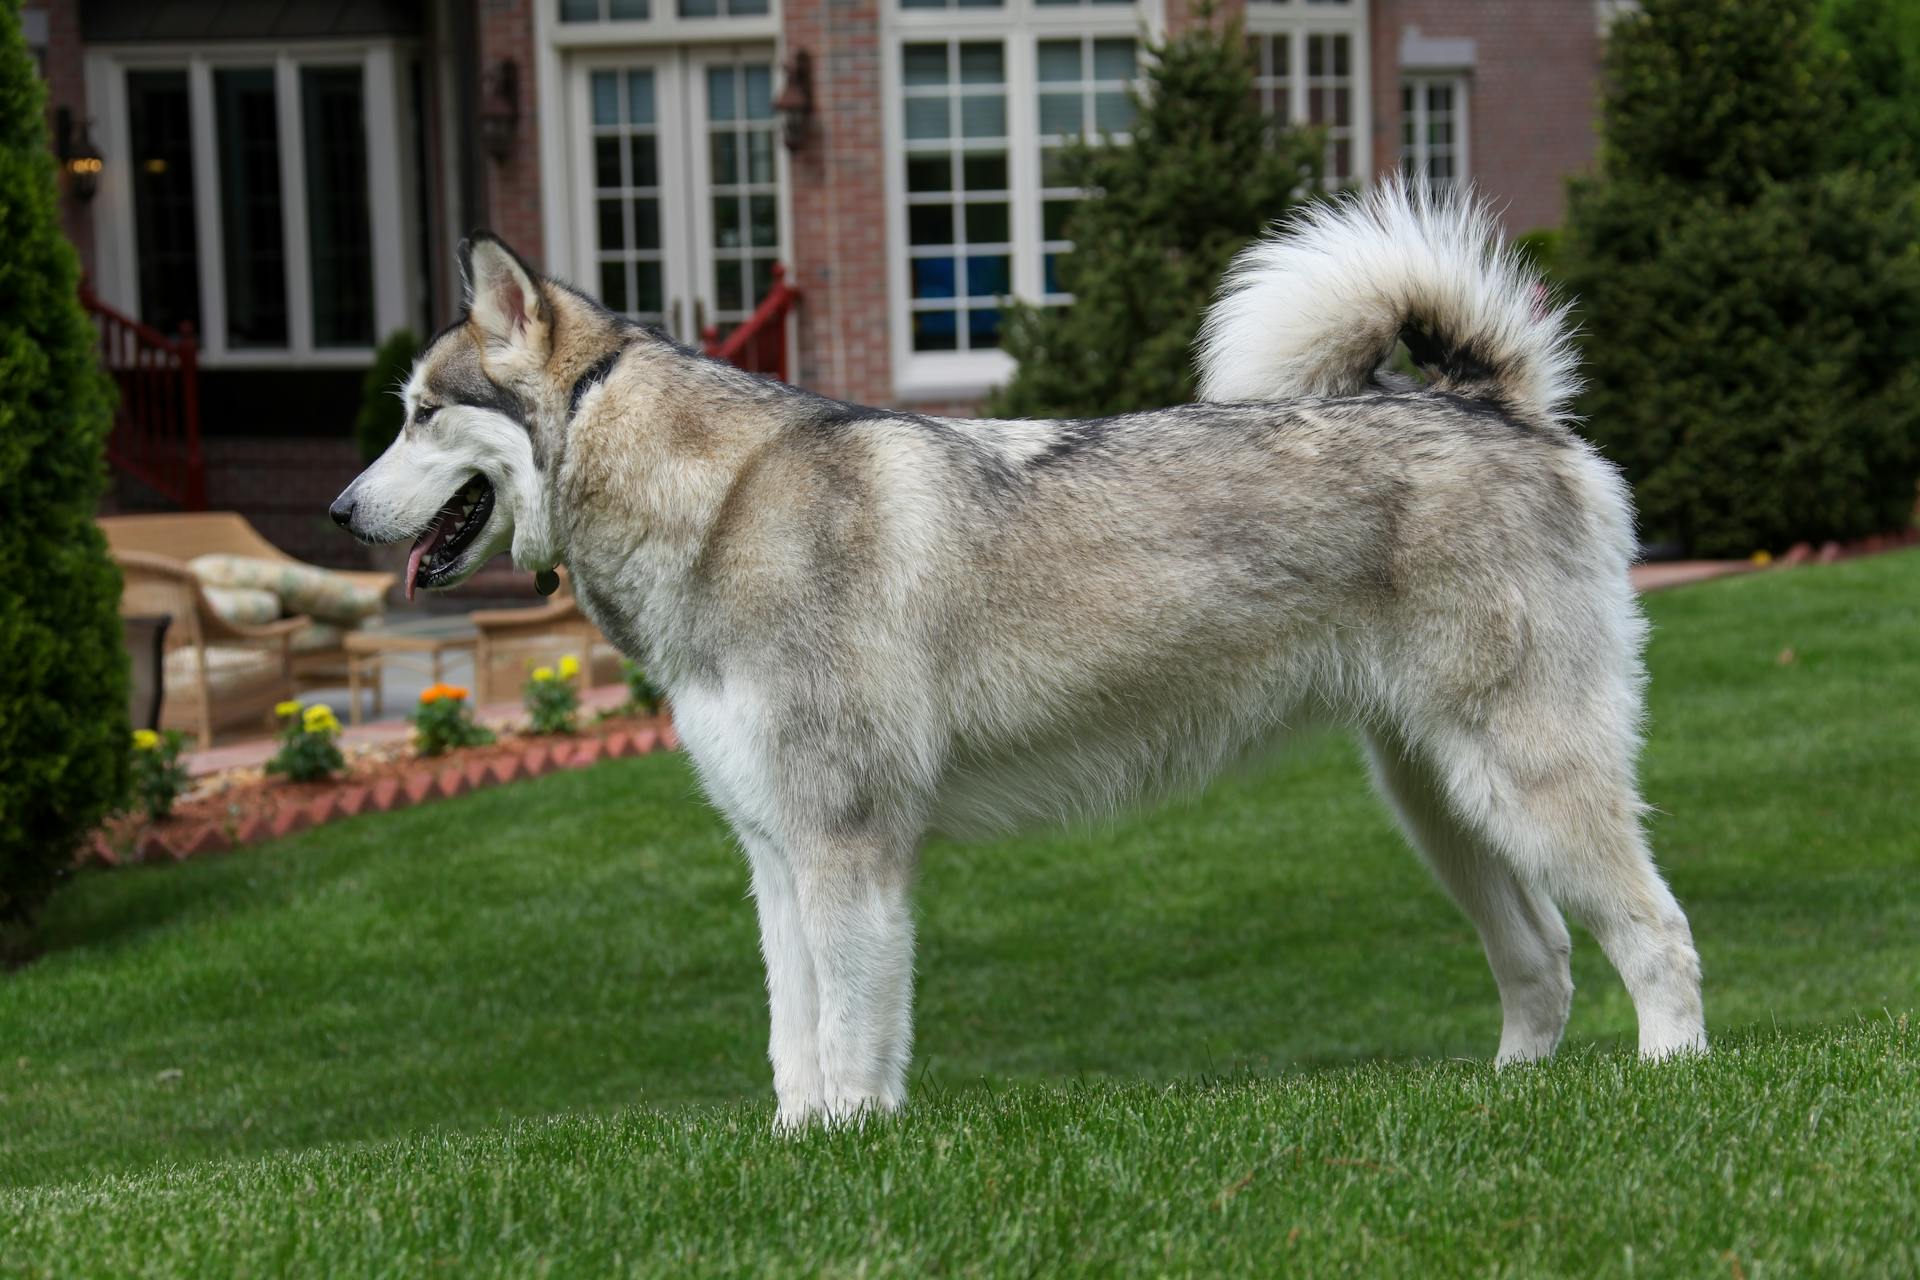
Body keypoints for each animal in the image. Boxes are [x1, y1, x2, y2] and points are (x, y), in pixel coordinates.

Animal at [334, 185, 1712, 1128]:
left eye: (419, 413)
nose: (342, 513)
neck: (717, 504)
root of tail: (1495, 402)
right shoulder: (776, 856)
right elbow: (793, 1042)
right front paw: (796, 1148)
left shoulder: (848, 849)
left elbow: (850, 1035)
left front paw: (850, 1142)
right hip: (1440, 801)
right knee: (1542, 959)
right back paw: (1506, 1099)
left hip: (1526, 780)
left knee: (1657, 931)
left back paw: (1671, 1080)